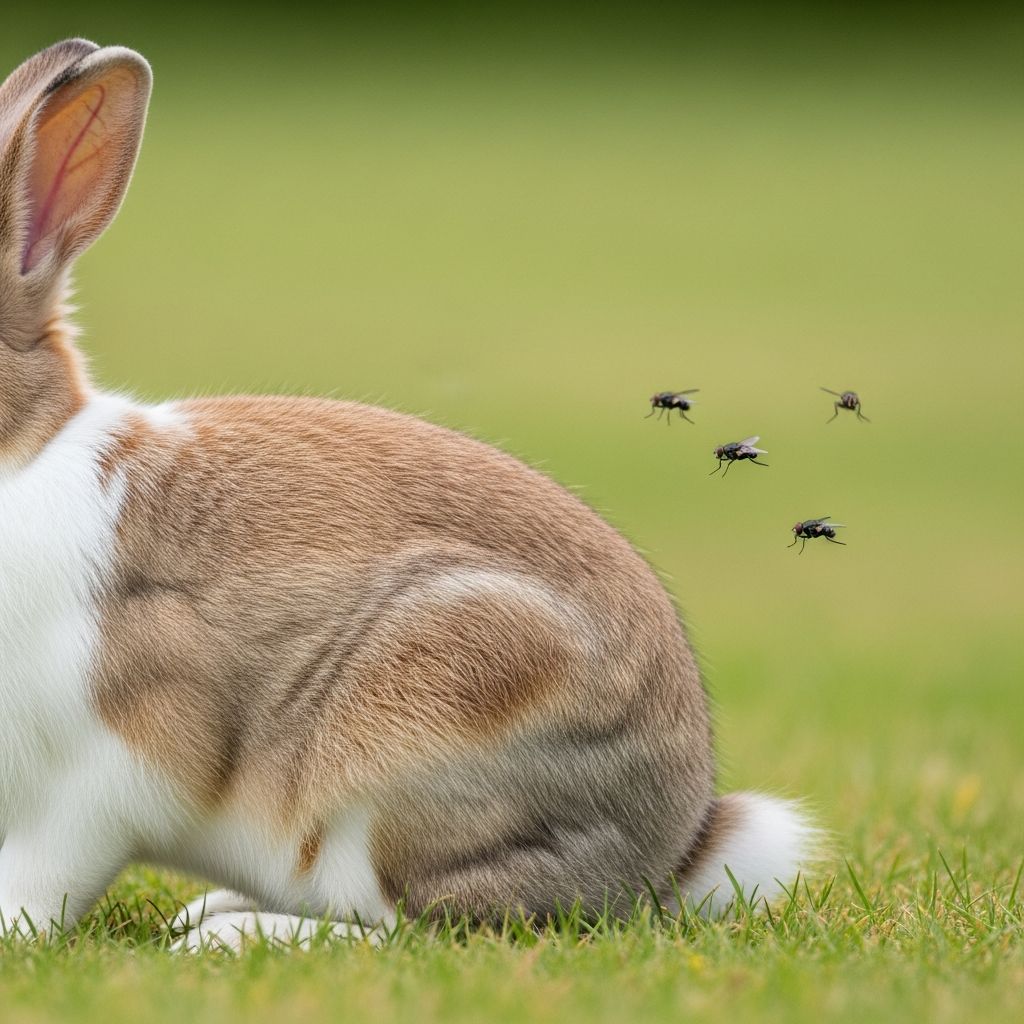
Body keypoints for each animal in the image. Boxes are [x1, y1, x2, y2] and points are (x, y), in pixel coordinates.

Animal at [0, 39, 816, 951]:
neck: (19, 457)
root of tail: (667, 854)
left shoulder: (93, 778)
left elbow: (43, 879)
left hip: (411, 748)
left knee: (417, 924)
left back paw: (229, 935)